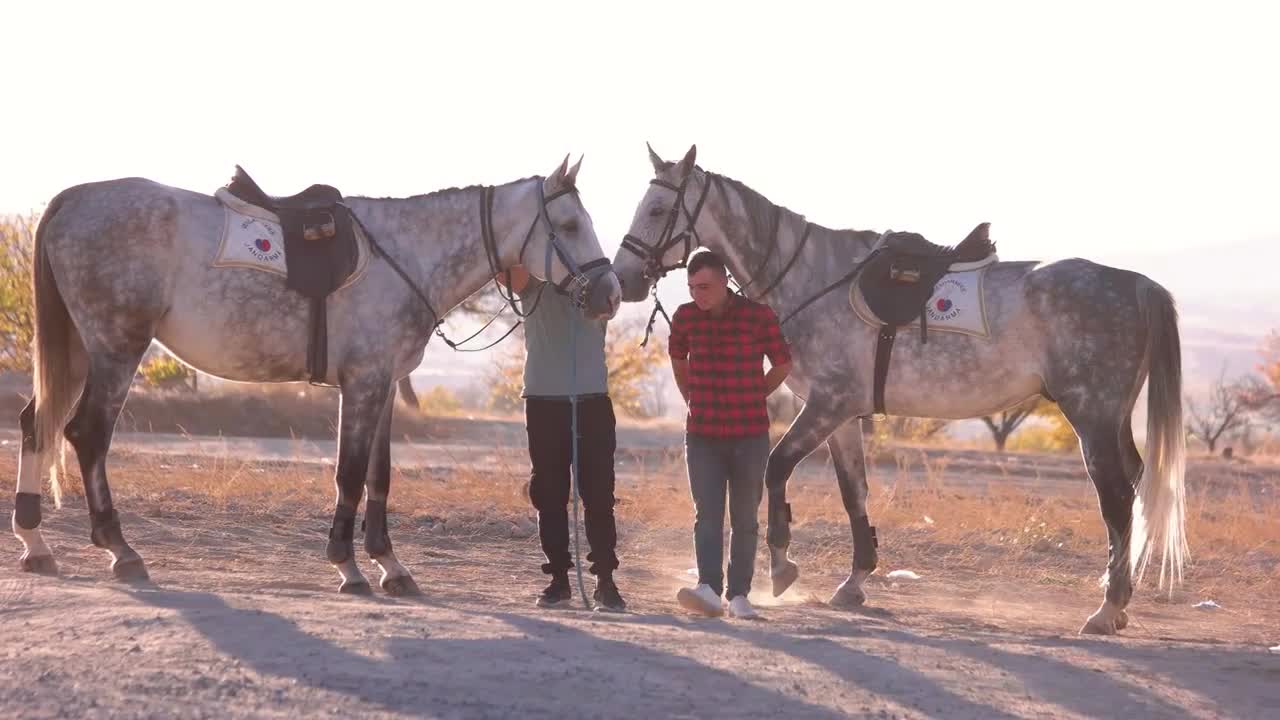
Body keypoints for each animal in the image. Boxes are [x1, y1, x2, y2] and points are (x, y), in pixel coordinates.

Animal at [614, 142, 1182, 630]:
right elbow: (854, 492)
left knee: (1115, 497)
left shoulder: (827, 405)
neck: (812, 277)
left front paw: (781, 568)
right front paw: (855, 580)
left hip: (1091, 414)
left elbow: (777, 468)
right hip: (1110, 416)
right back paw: (1115, 599)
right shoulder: (843, 415)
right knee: (1132, 484)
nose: (623, 280)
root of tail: (1138, 283)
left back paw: (1107, 610)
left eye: (659, 211)